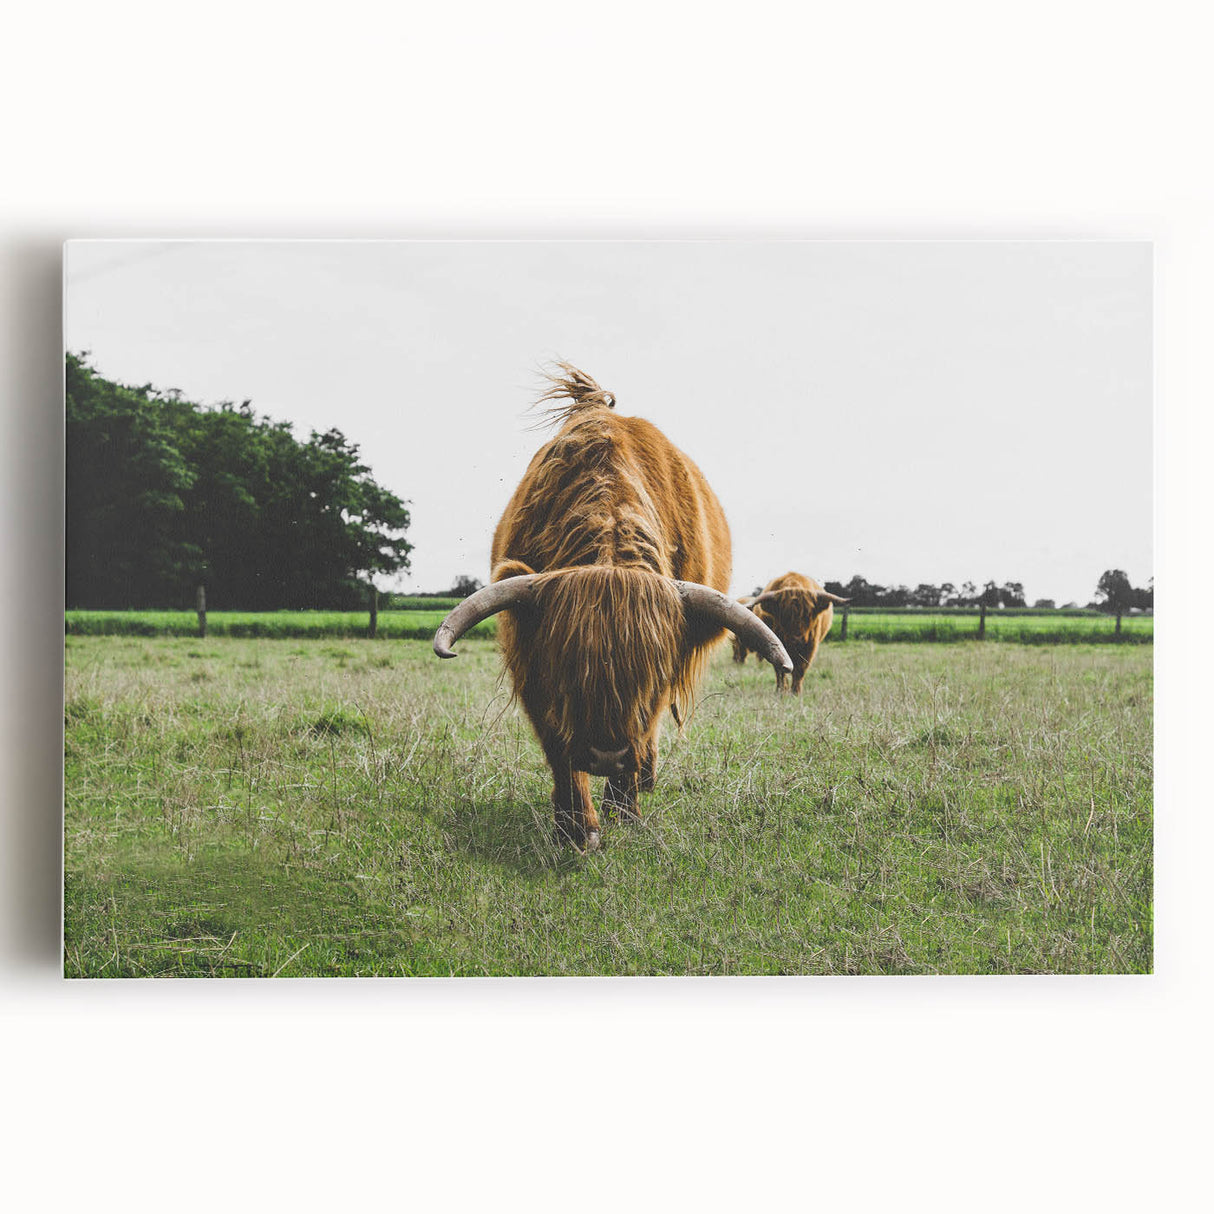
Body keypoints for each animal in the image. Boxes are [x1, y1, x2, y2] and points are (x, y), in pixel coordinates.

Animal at [433, 364, 792, 851]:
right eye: (566, 667)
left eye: (652, 675)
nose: (607, 754)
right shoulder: (532, 667)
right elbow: (559, 750)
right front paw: (576, 827)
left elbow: (644, 732)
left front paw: (624, 811)